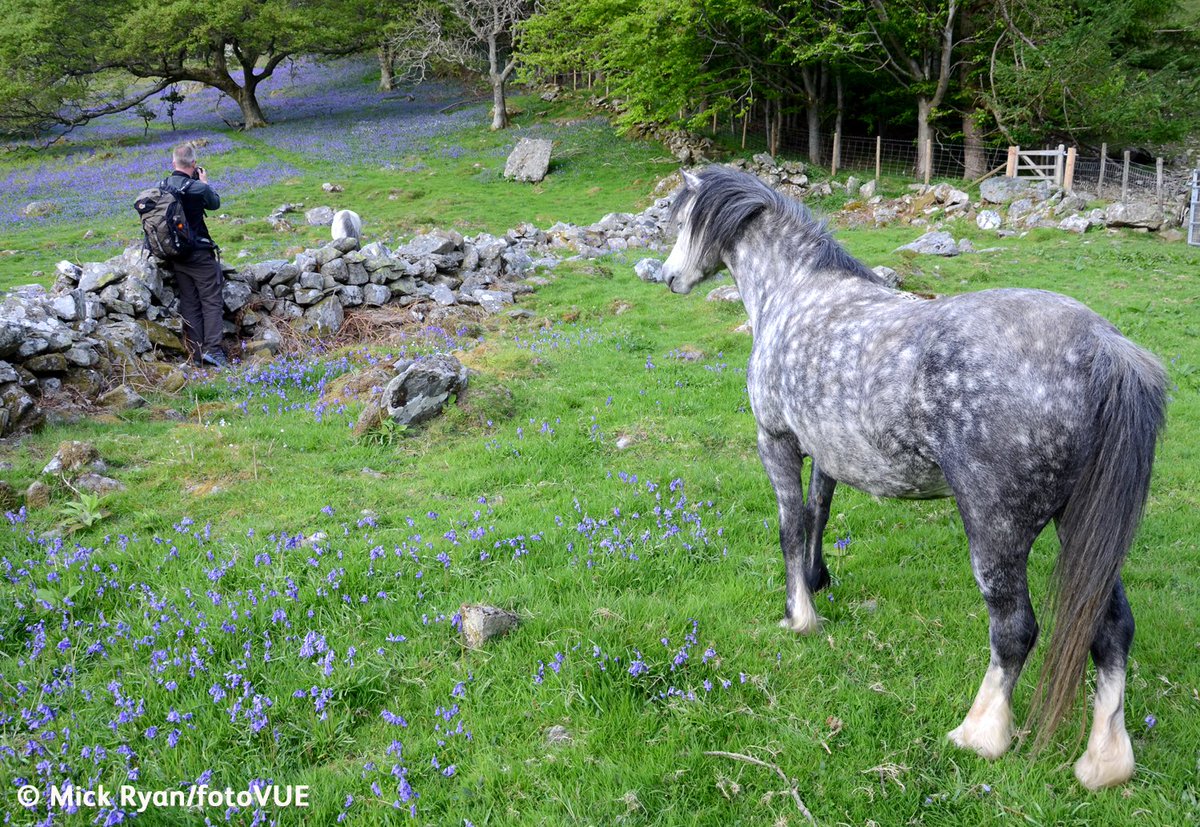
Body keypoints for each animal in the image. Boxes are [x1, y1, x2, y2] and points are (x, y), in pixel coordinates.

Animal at [659, 166, 1167, 790]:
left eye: (682, 218)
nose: (668, 277)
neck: (796, 290)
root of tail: (1103, 347)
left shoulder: (775, 440)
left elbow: (788, 525)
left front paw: (799, 616)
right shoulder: (826, 450)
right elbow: (817, 514)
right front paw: (817, 579)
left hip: (995, 529)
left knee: (1015, 630)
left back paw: (979, 733)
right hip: (1081, 527)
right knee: (1111, 628)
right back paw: (1104, 762)